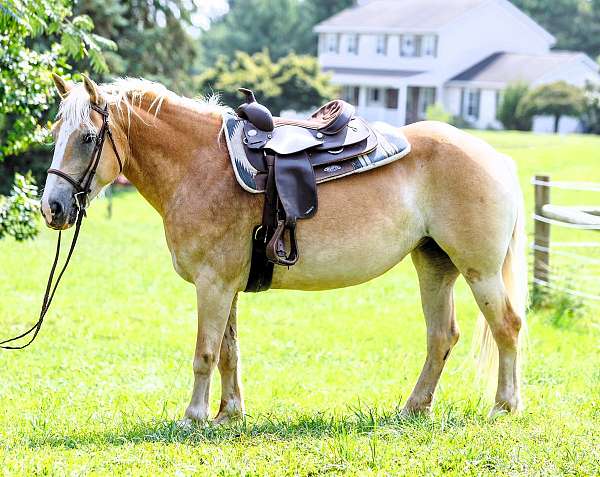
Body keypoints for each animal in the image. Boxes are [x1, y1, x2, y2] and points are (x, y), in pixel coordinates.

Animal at [42, 74, 528, 424]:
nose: (53, 207)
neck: (199, 165)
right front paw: (228, 414)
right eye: (55, 133)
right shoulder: (225, 287)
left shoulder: (212, 285)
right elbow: (228, 352)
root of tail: (497, 159)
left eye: (87, 138)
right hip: (434, 265)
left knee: (507, 326)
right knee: (441, 336)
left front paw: (194, 416)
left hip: (480, 272)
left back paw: (504, 406)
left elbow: (204, 353)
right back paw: (414, 407)